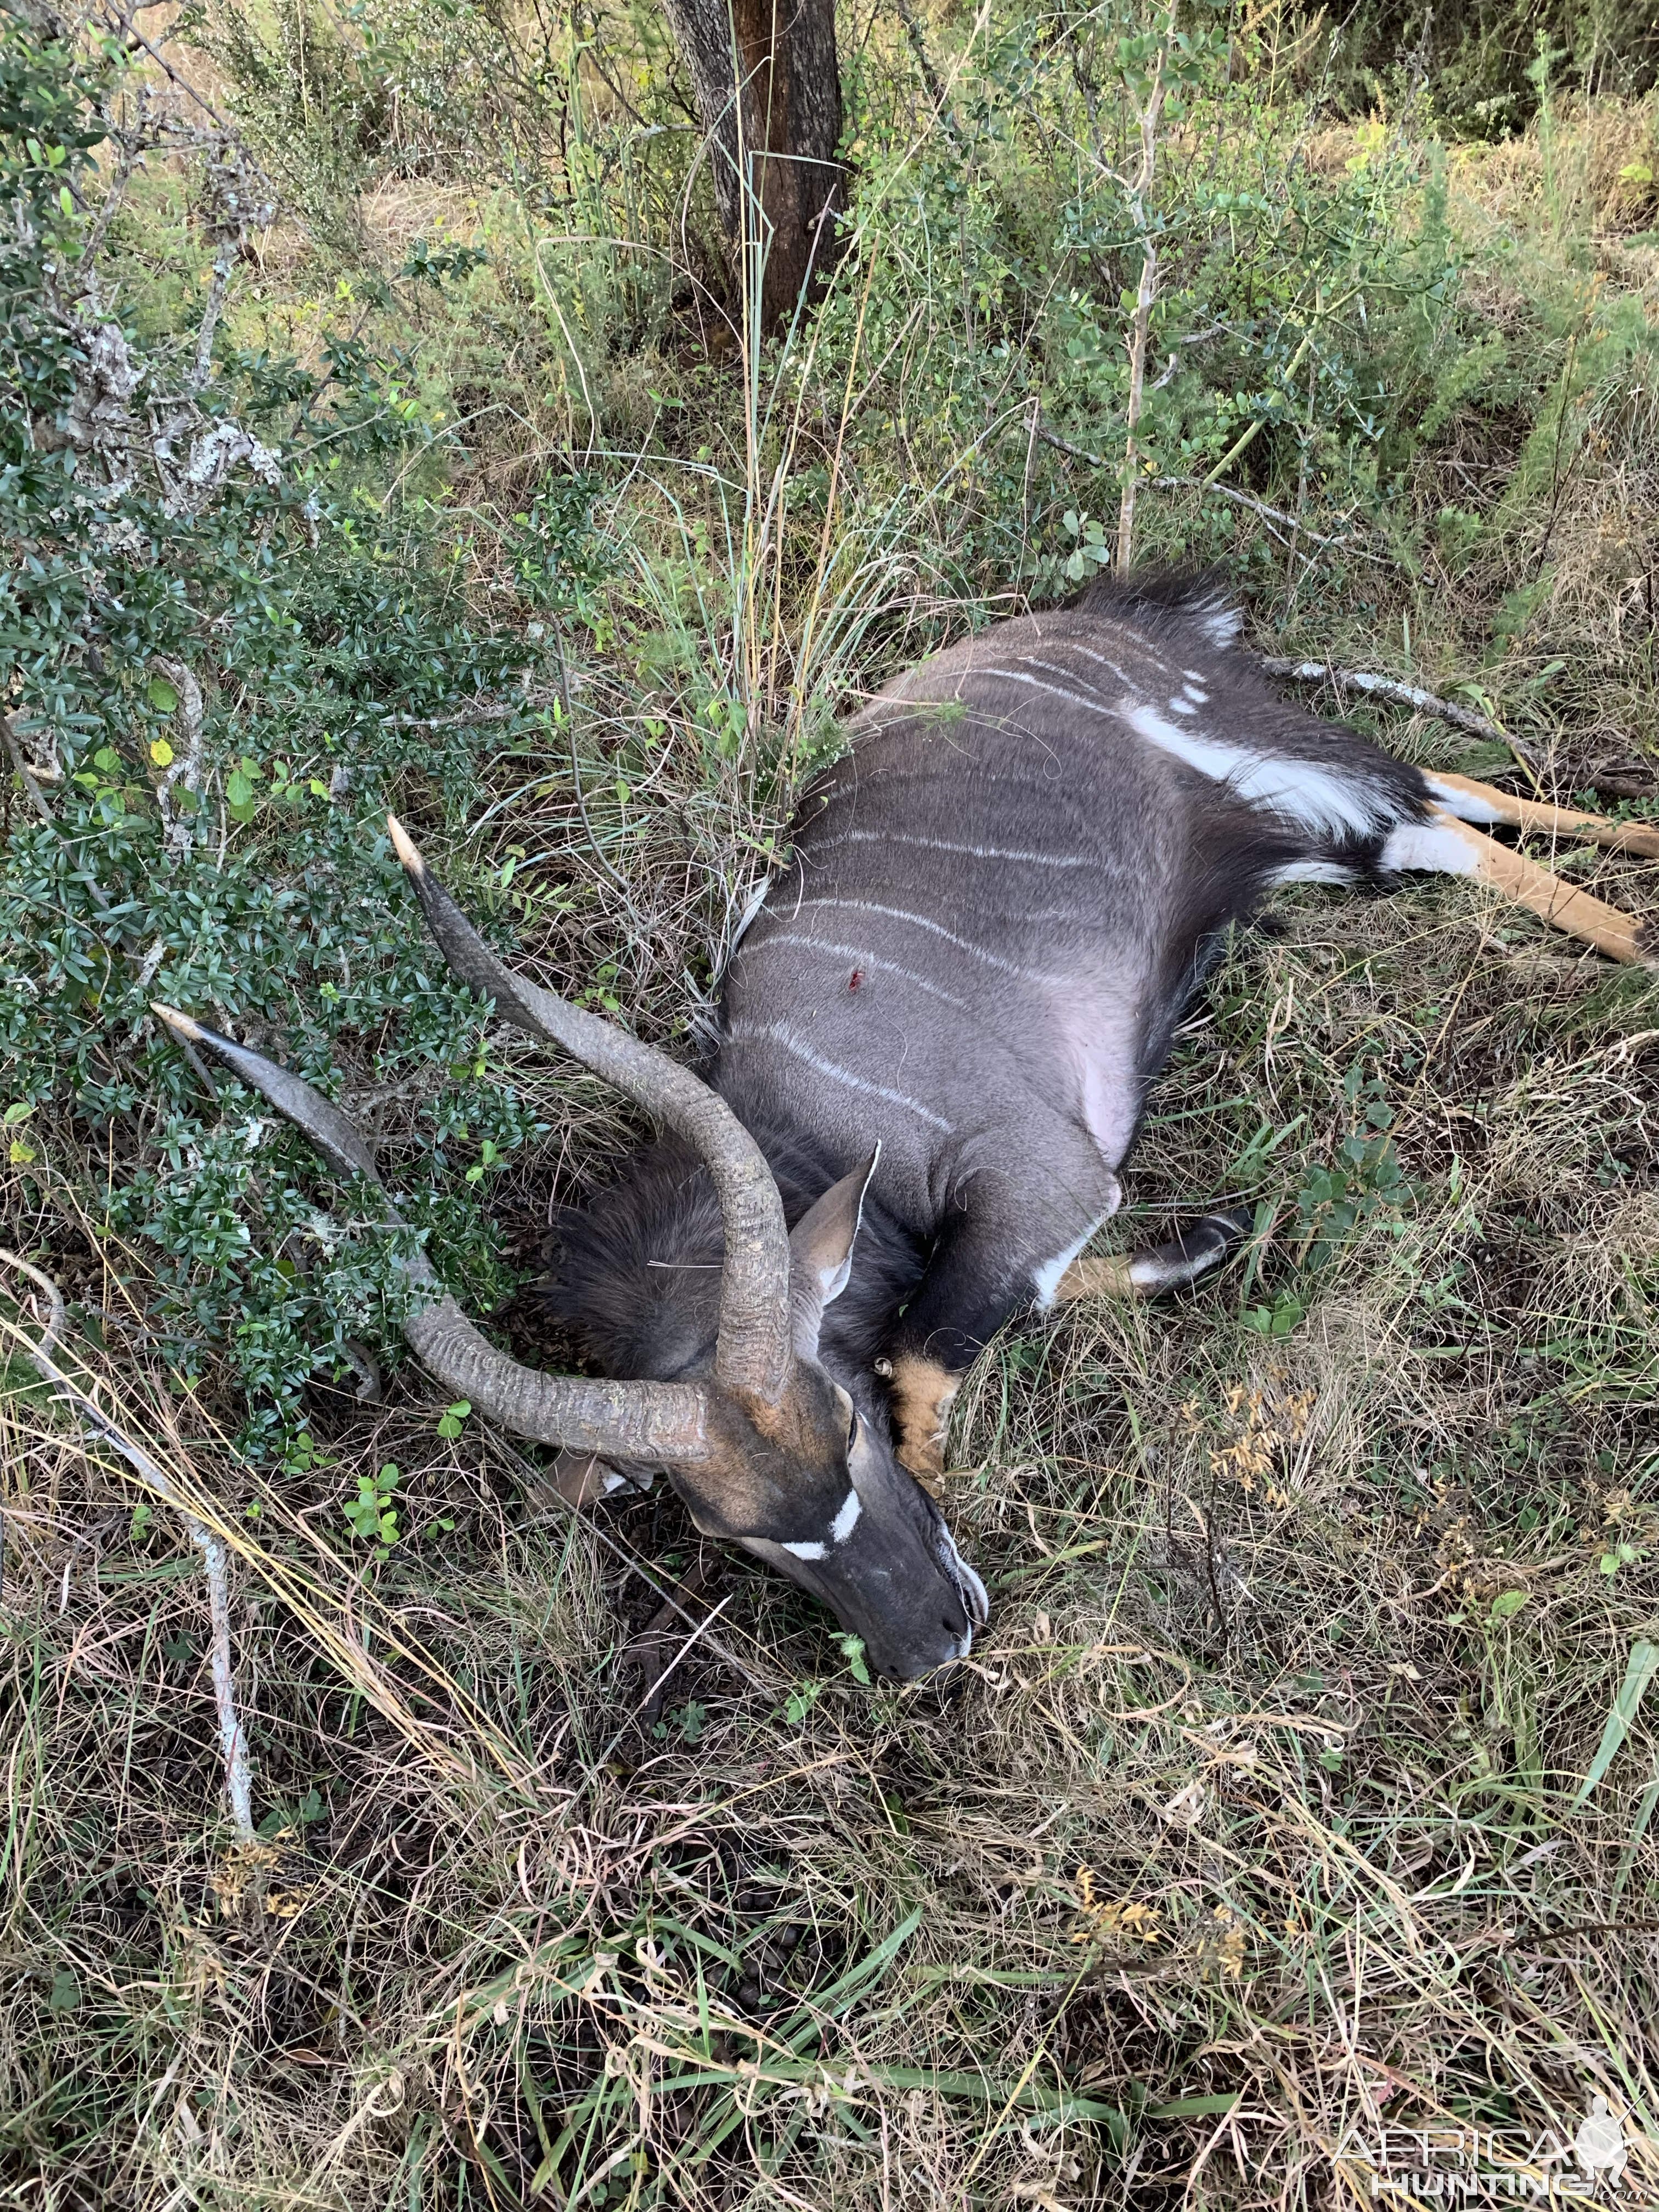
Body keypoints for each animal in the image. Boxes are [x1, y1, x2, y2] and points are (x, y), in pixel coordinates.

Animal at [159, 571, 1659, 1672]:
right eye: (734, 1537)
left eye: (844, 1425)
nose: (935, 1644)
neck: (816, 1134)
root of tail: (1112, 617)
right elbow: (1020, 1299)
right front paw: (1205, 1245)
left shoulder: (1043, 1176)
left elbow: (928, 1352)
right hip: (1284, 822)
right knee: (1462, 796)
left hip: (1267, 768)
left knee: (1445, 817)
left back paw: (1640, 943)